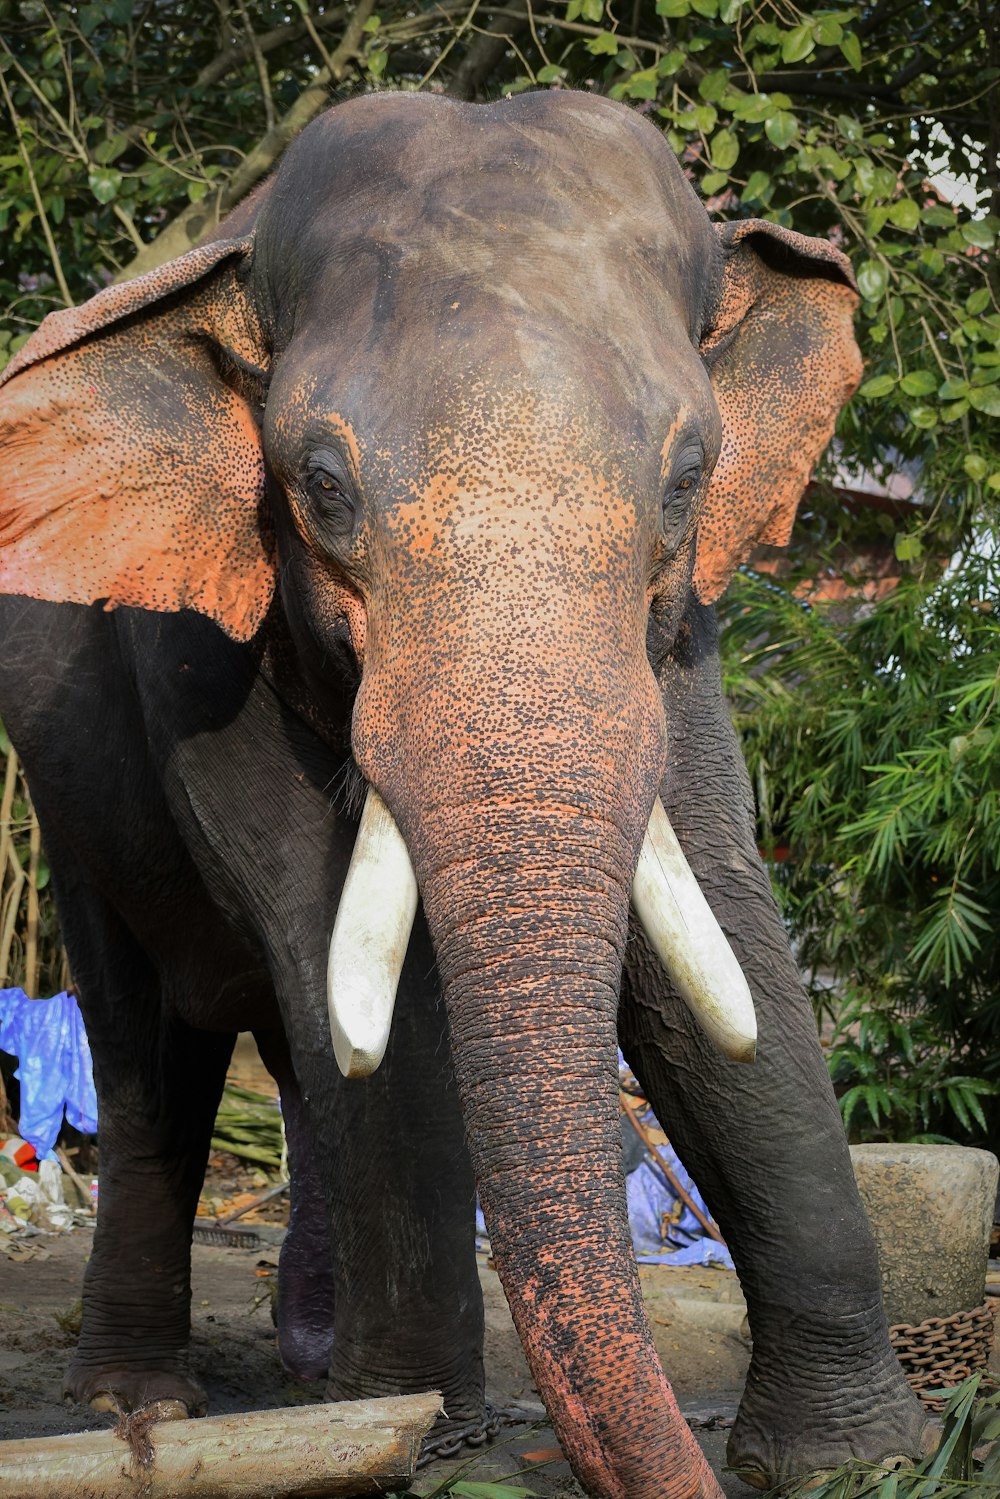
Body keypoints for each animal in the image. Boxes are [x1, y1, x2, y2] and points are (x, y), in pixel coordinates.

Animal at [0, 93, 929, 1499]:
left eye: (687, 476)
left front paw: (852, 1458)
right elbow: (334, 938)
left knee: (289, 1048)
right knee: (155, 1048)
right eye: (320, 486)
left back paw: (309, 1361)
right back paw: (140, 1392)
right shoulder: (201, 657)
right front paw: (422, 1430)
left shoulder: (683, 633)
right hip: (69, 805)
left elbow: (716, 919)